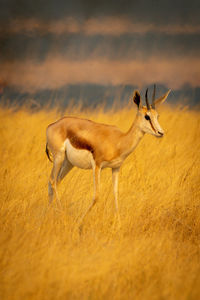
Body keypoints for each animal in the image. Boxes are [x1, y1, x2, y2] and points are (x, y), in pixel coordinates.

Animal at [45, 85, 170, 224]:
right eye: (146, 116)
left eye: (157, 116)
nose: (161, 133)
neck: (119, 140)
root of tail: (53, 125)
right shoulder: (97, 166)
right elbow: (96, 196)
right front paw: (79, 222)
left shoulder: (116, 168)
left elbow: (115, 193)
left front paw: (119, 223)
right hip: (59, 157)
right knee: (52, 181)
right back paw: (62, 215)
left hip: (68, 163)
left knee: (54, 183)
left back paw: (50, 214)